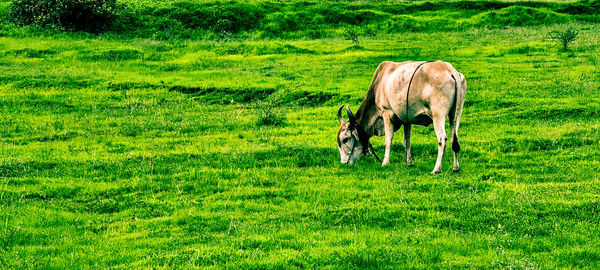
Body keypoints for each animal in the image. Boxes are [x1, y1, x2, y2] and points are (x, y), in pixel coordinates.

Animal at [336, 60, 466, 175]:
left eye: (345, 139)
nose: (344, 163)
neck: (380, 84)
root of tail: (451, 71)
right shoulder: (407, 120)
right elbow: (407, 142)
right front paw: (409, 163)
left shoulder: (387, 113)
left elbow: (388, 141)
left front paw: (385, 163)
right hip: (456, 114)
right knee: (454, 140)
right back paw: (456, 168)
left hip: (438, 115)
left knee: (442, 139)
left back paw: (436, 169)